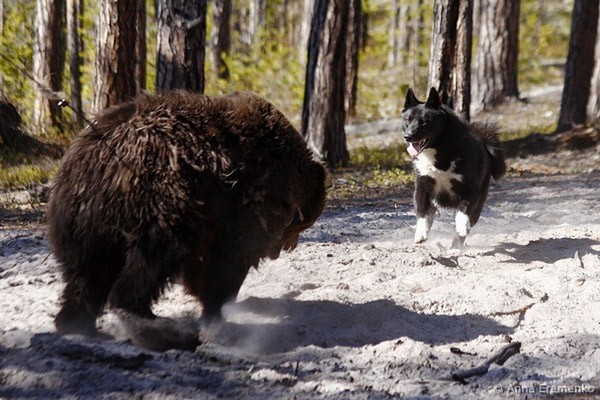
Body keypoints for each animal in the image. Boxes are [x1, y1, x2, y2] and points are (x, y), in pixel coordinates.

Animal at [401, 87, 507, 248]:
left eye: (424, 121)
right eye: (408, 120)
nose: (407, 136)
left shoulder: (470, 192)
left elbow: (463, 210)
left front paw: (462, 226)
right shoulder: (423, 186)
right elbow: (422, 212)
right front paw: (420, 233)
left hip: (479, 201)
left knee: (467, 219)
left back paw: (456, 247)